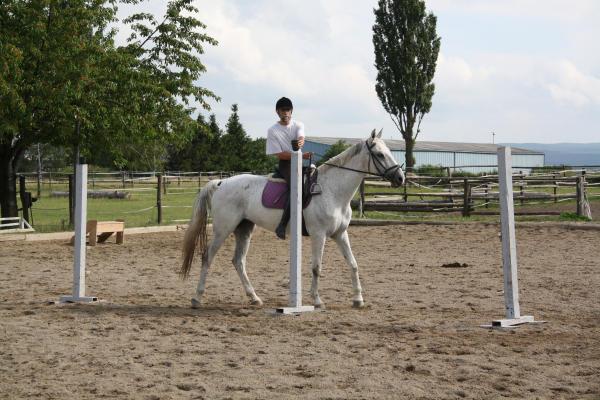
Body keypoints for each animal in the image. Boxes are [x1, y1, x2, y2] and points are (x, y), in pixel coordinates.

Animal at [180, 129, 405, 309]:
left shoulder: (340, 234)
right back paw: (197, 299)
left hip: (244, 228)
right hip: (223, 229)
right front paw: (317, 300)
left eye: (389, 152)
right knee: (207, 257)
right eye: (379, 154)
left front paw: (358, 299)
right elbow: (317, 267)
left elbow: (353, 264)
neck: (332, 191)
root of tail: (221, 183)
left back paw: (254, 298)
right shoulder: (319, 235)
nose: (400, 178)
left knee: (238, 261)